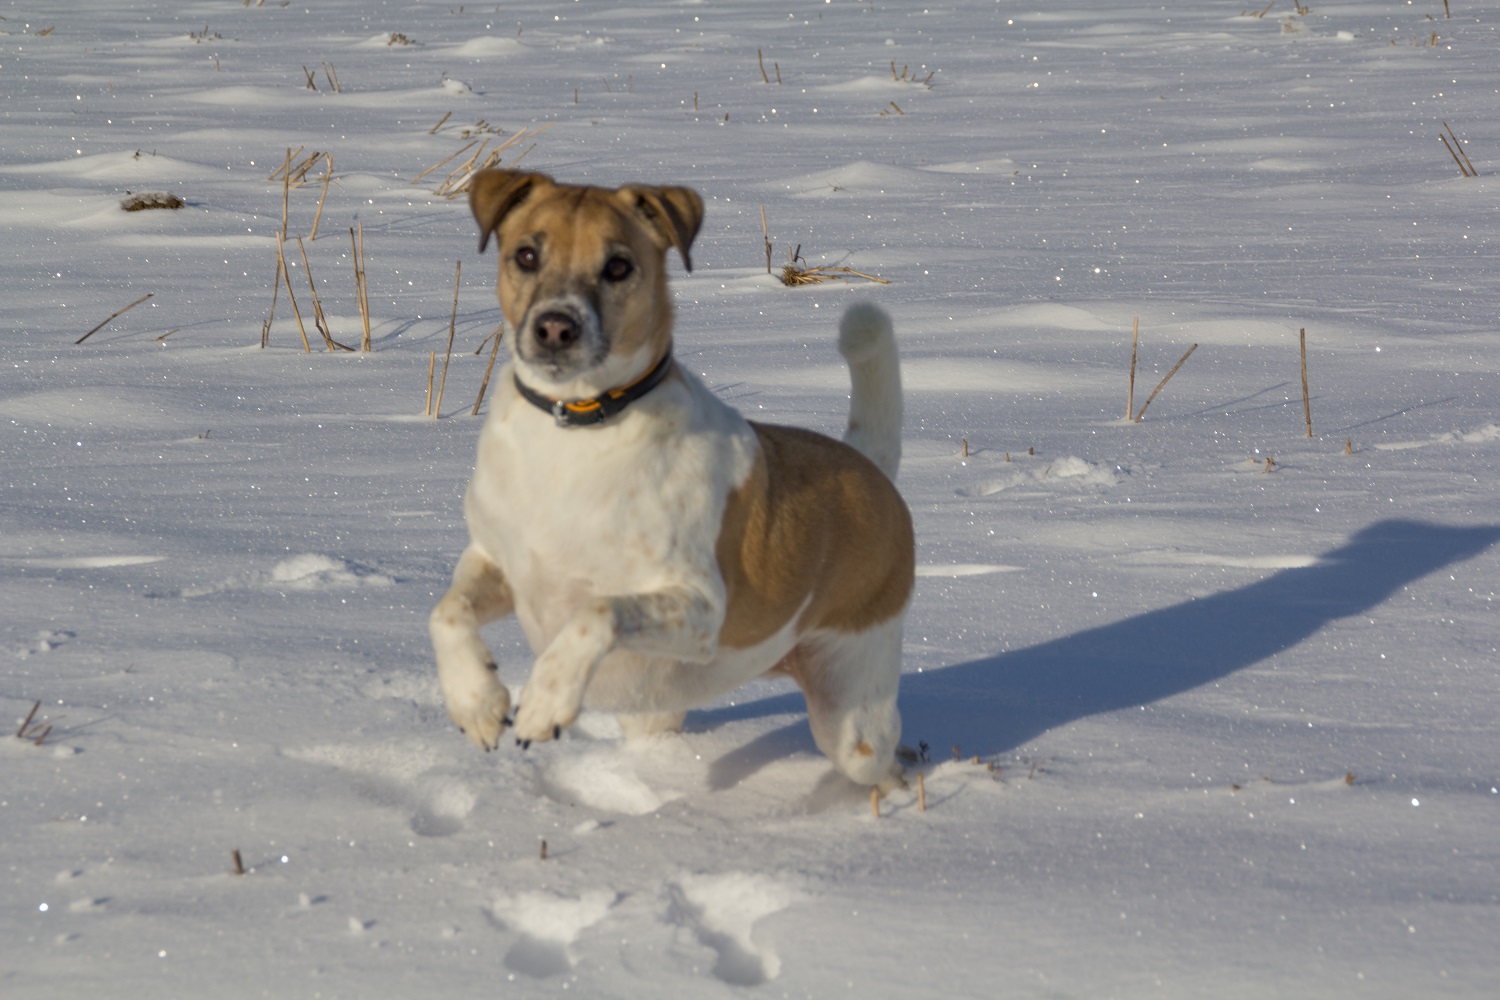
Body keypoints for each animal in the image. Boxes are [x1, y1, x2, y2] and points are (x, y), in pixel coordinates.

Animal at [426, 170, 912, 791]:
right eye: (526, 255)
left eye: (618, 266)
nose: (555, 327)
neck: (575, 428)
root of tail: (869, 468)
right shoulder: (496, 560)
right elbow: (447, 611)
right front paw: (477, 701)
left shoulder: (698, 609)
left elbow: (596, 611)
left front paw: (543, 701)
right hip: (656, 705)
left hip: (851, 713)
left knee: (879, 757)